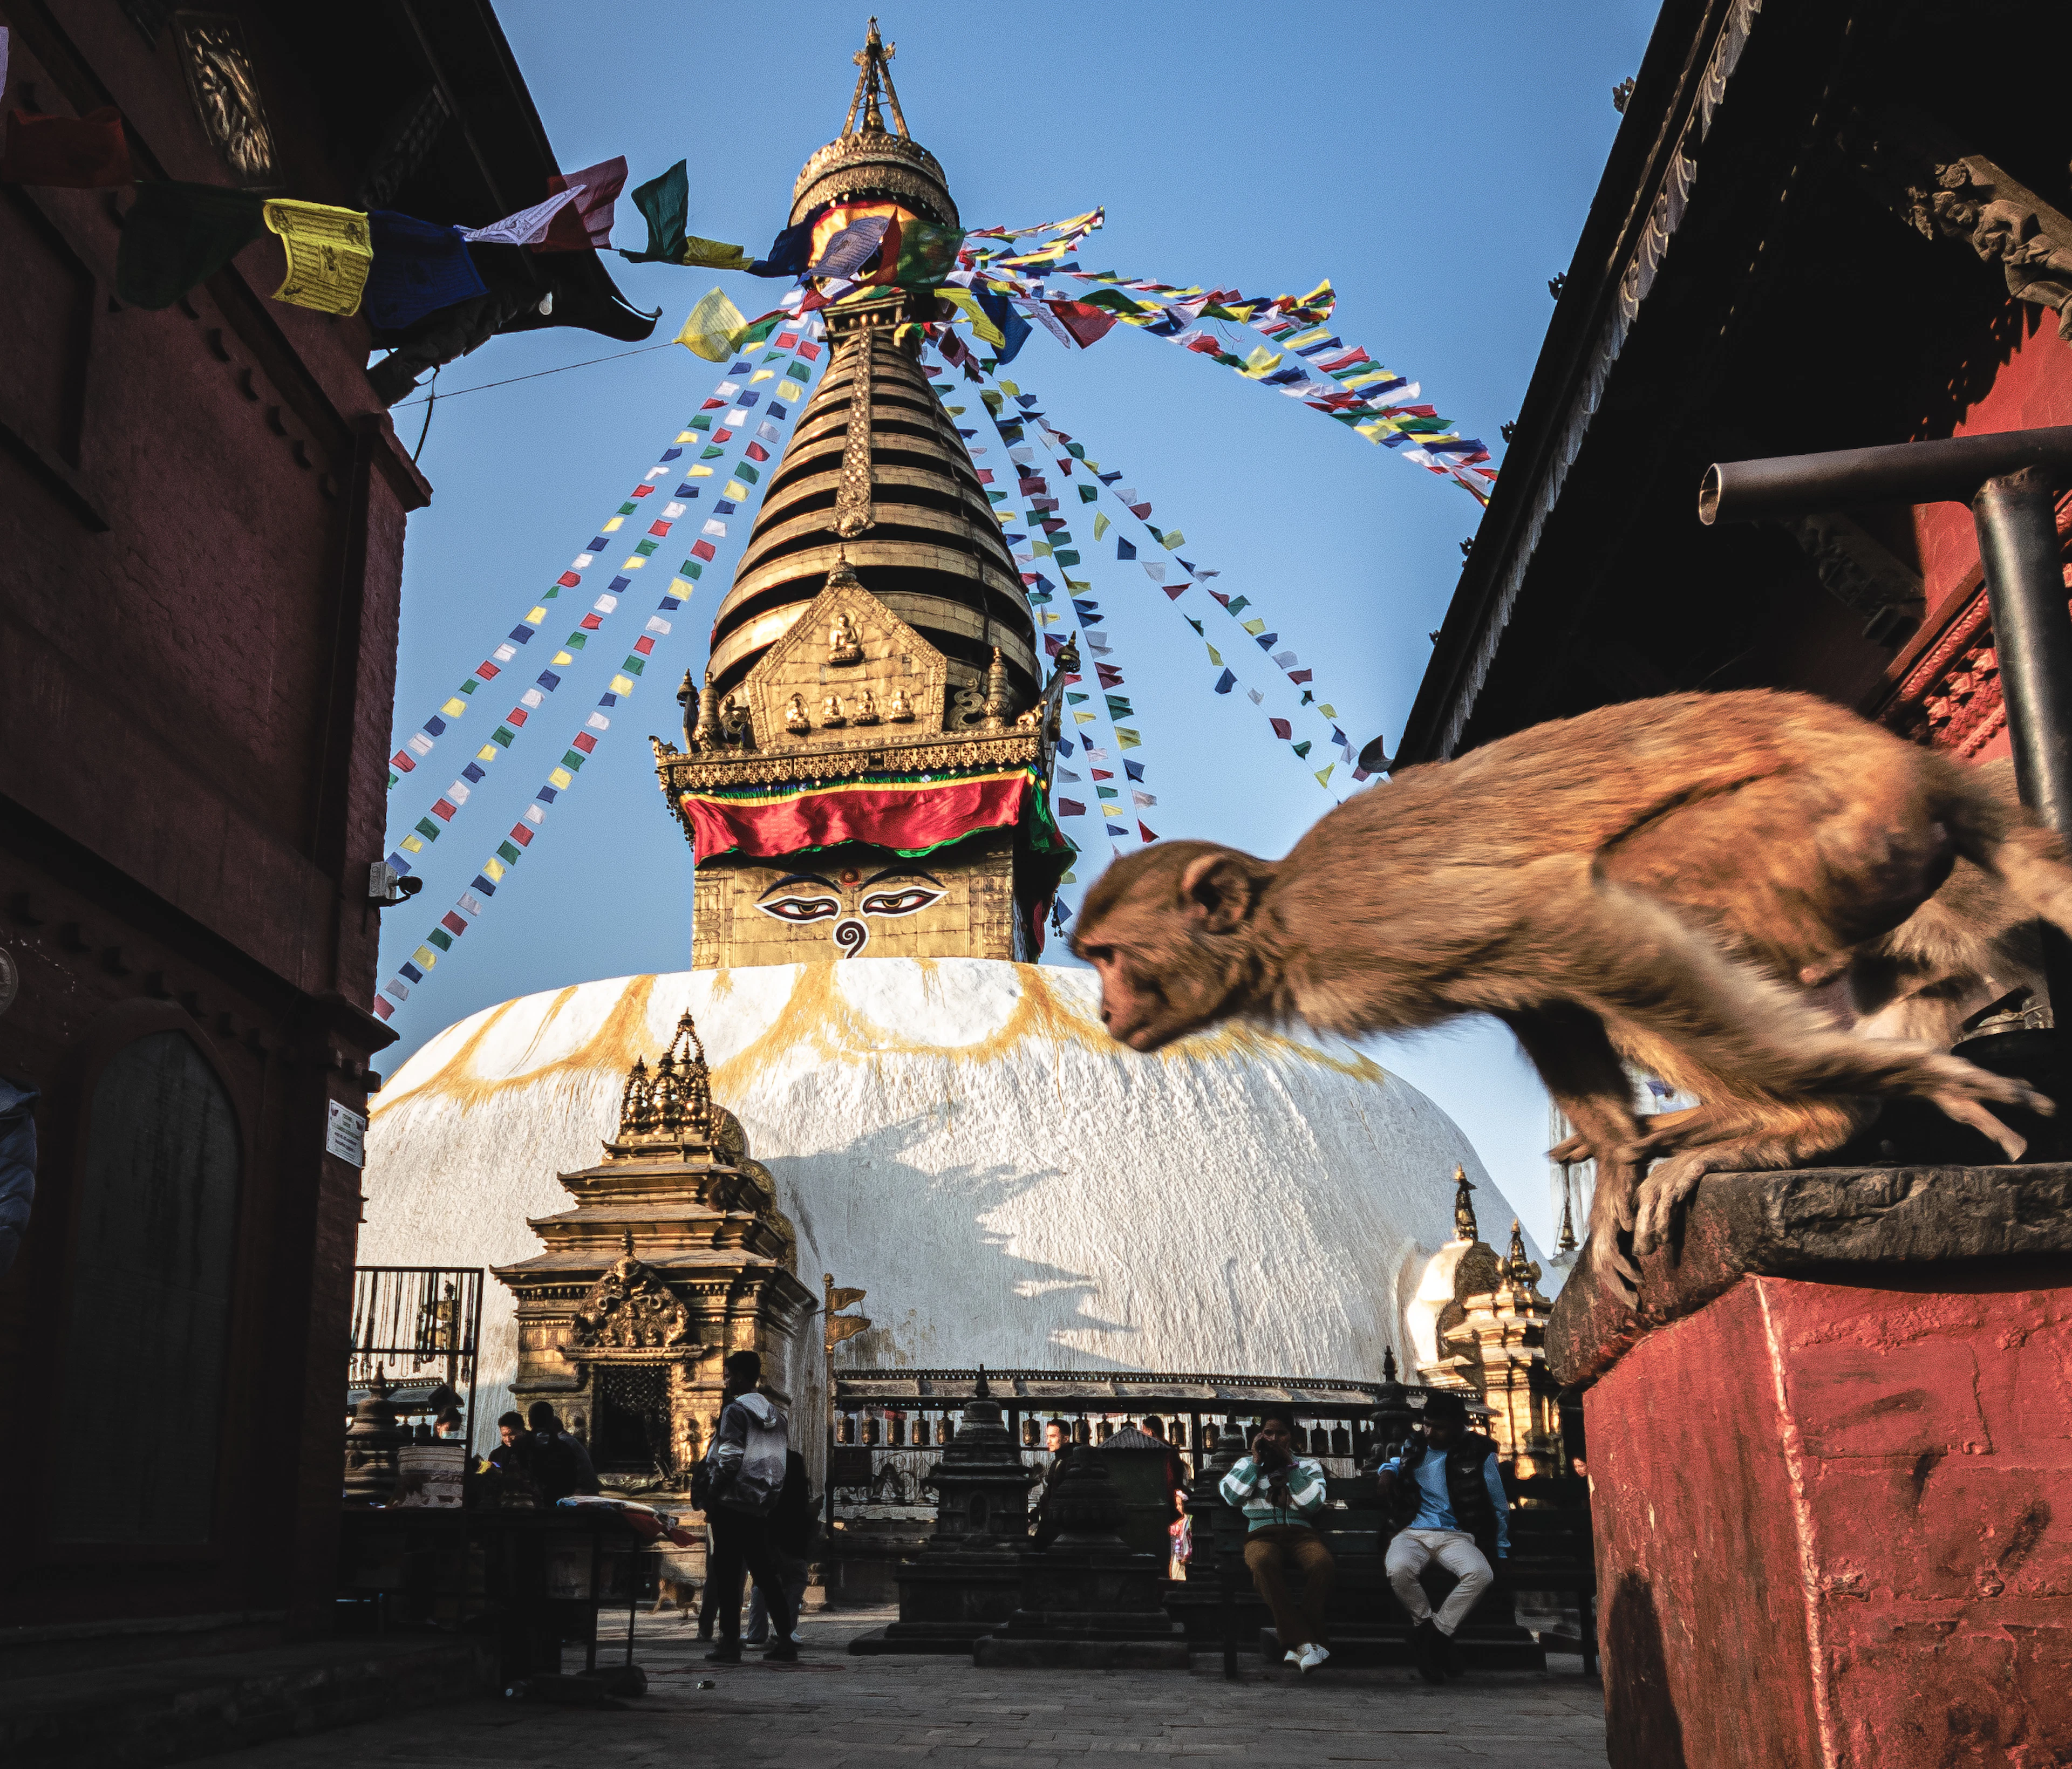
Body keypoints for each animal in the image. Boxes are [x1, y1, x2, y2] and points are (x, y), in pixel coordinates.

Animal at [1070, 691, 2072, 1301]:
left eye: (1114, 955)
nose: (1108, 1011)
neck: (1278, 926)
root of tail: (1905, 757)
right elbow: (1540, 996)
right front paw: (1618, 1164)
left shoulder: (1378, 926)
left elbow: (1571, 922)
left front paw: (1878, 1090)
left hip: (1831, 824)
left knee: (1635, 893)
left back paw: (1821, 1116)